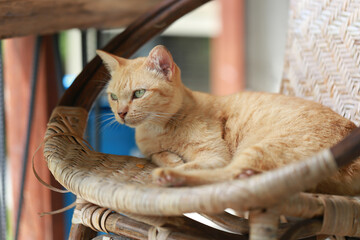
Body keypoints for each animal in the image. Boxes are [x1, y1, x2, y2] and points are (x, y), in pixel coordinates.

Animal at [97, 45, 360, 195]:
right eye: (113, 97)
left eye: (138, 94)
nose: (121, 113)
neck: (158, 129)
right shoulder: (150, 149)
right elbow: (156, 155)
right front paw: (169, 158)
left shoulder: (214, 156)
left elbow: (194, 165)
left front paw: (174, 165)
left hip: (259, 148)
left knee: (230, 175)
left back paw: (172, 177)